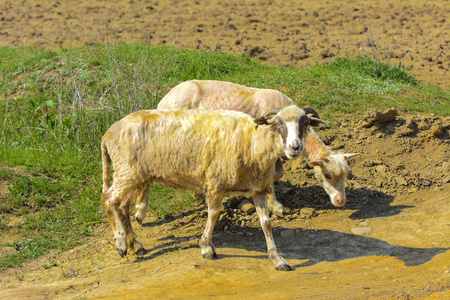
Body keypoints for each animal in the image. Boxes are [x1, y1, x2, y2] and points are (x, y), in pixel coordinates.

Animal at [100, 106, 324, 272]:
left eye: (305, 123)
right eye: (278, 124)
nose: (295, 147)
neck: (252, 142)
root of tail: (107, 133)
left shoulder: (258, 190)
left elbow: (266, 224)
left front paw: (278, 259)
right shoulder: (216, 182)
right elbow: (214, 214)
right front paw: (207, 247)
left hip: (135, 175)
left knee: (122, 206)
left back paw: (134, 245)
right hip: (126, 170)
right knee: (108, 199)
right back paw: (121, 243)